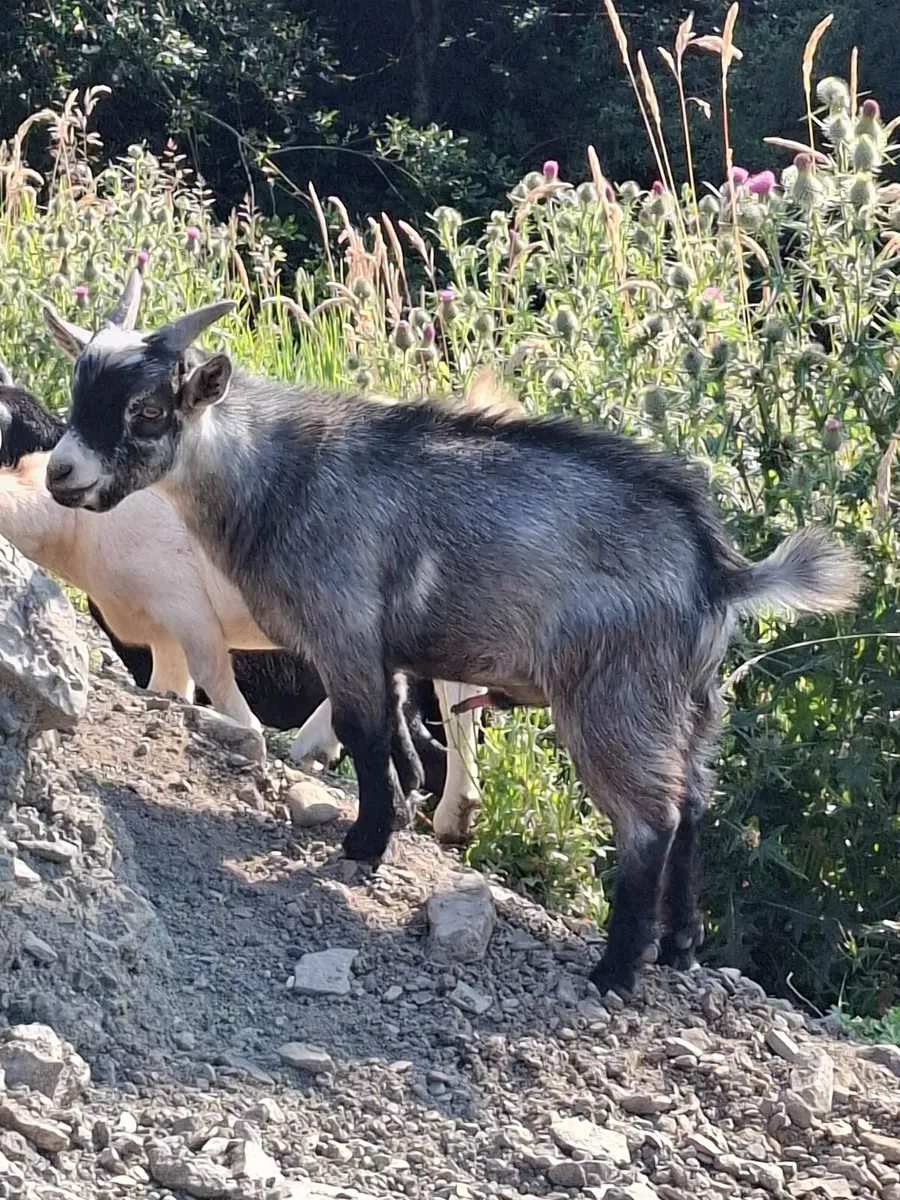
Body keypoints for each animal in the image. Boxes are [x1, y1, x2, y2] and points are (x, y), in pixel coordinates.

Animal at [43, 272, 861, 996]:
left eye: (148, 410)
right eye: (80, 393)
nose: (60, 475)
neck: (273, 472)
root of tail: (717, 572)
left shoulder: (342, 632)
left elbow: (365, 734)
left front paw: (363, 846)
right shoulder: (387, 651)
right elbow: (398, 736)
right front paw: (397, 819)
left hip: (616, 697)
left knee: (649, 820)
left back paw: (617, 971)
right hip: (692, 702)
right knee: (694, 802)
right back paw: (681, 947)